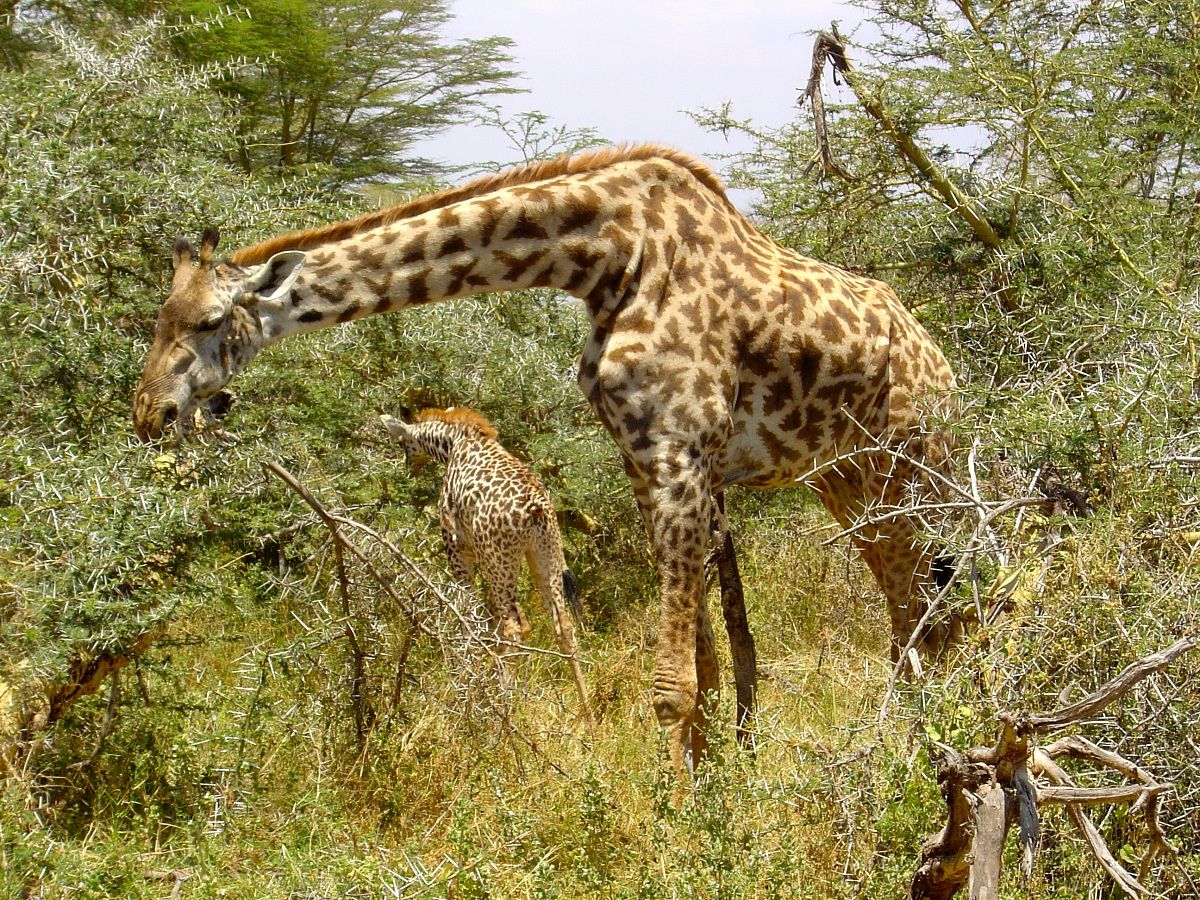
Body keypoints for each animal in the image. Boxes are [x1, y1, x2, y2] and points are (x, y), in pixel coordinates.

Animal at [379, 406, 592, 722]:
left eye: (404, 443)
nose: (408, 467)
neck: (454, 442)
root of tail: (536, 509)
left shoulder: (456, 547)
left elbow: (467, 617)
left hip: (497, 561)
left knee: (514, 627)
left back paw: (503, 713)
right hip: (546, 557)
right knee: (563, 627)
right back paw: (588, 718)